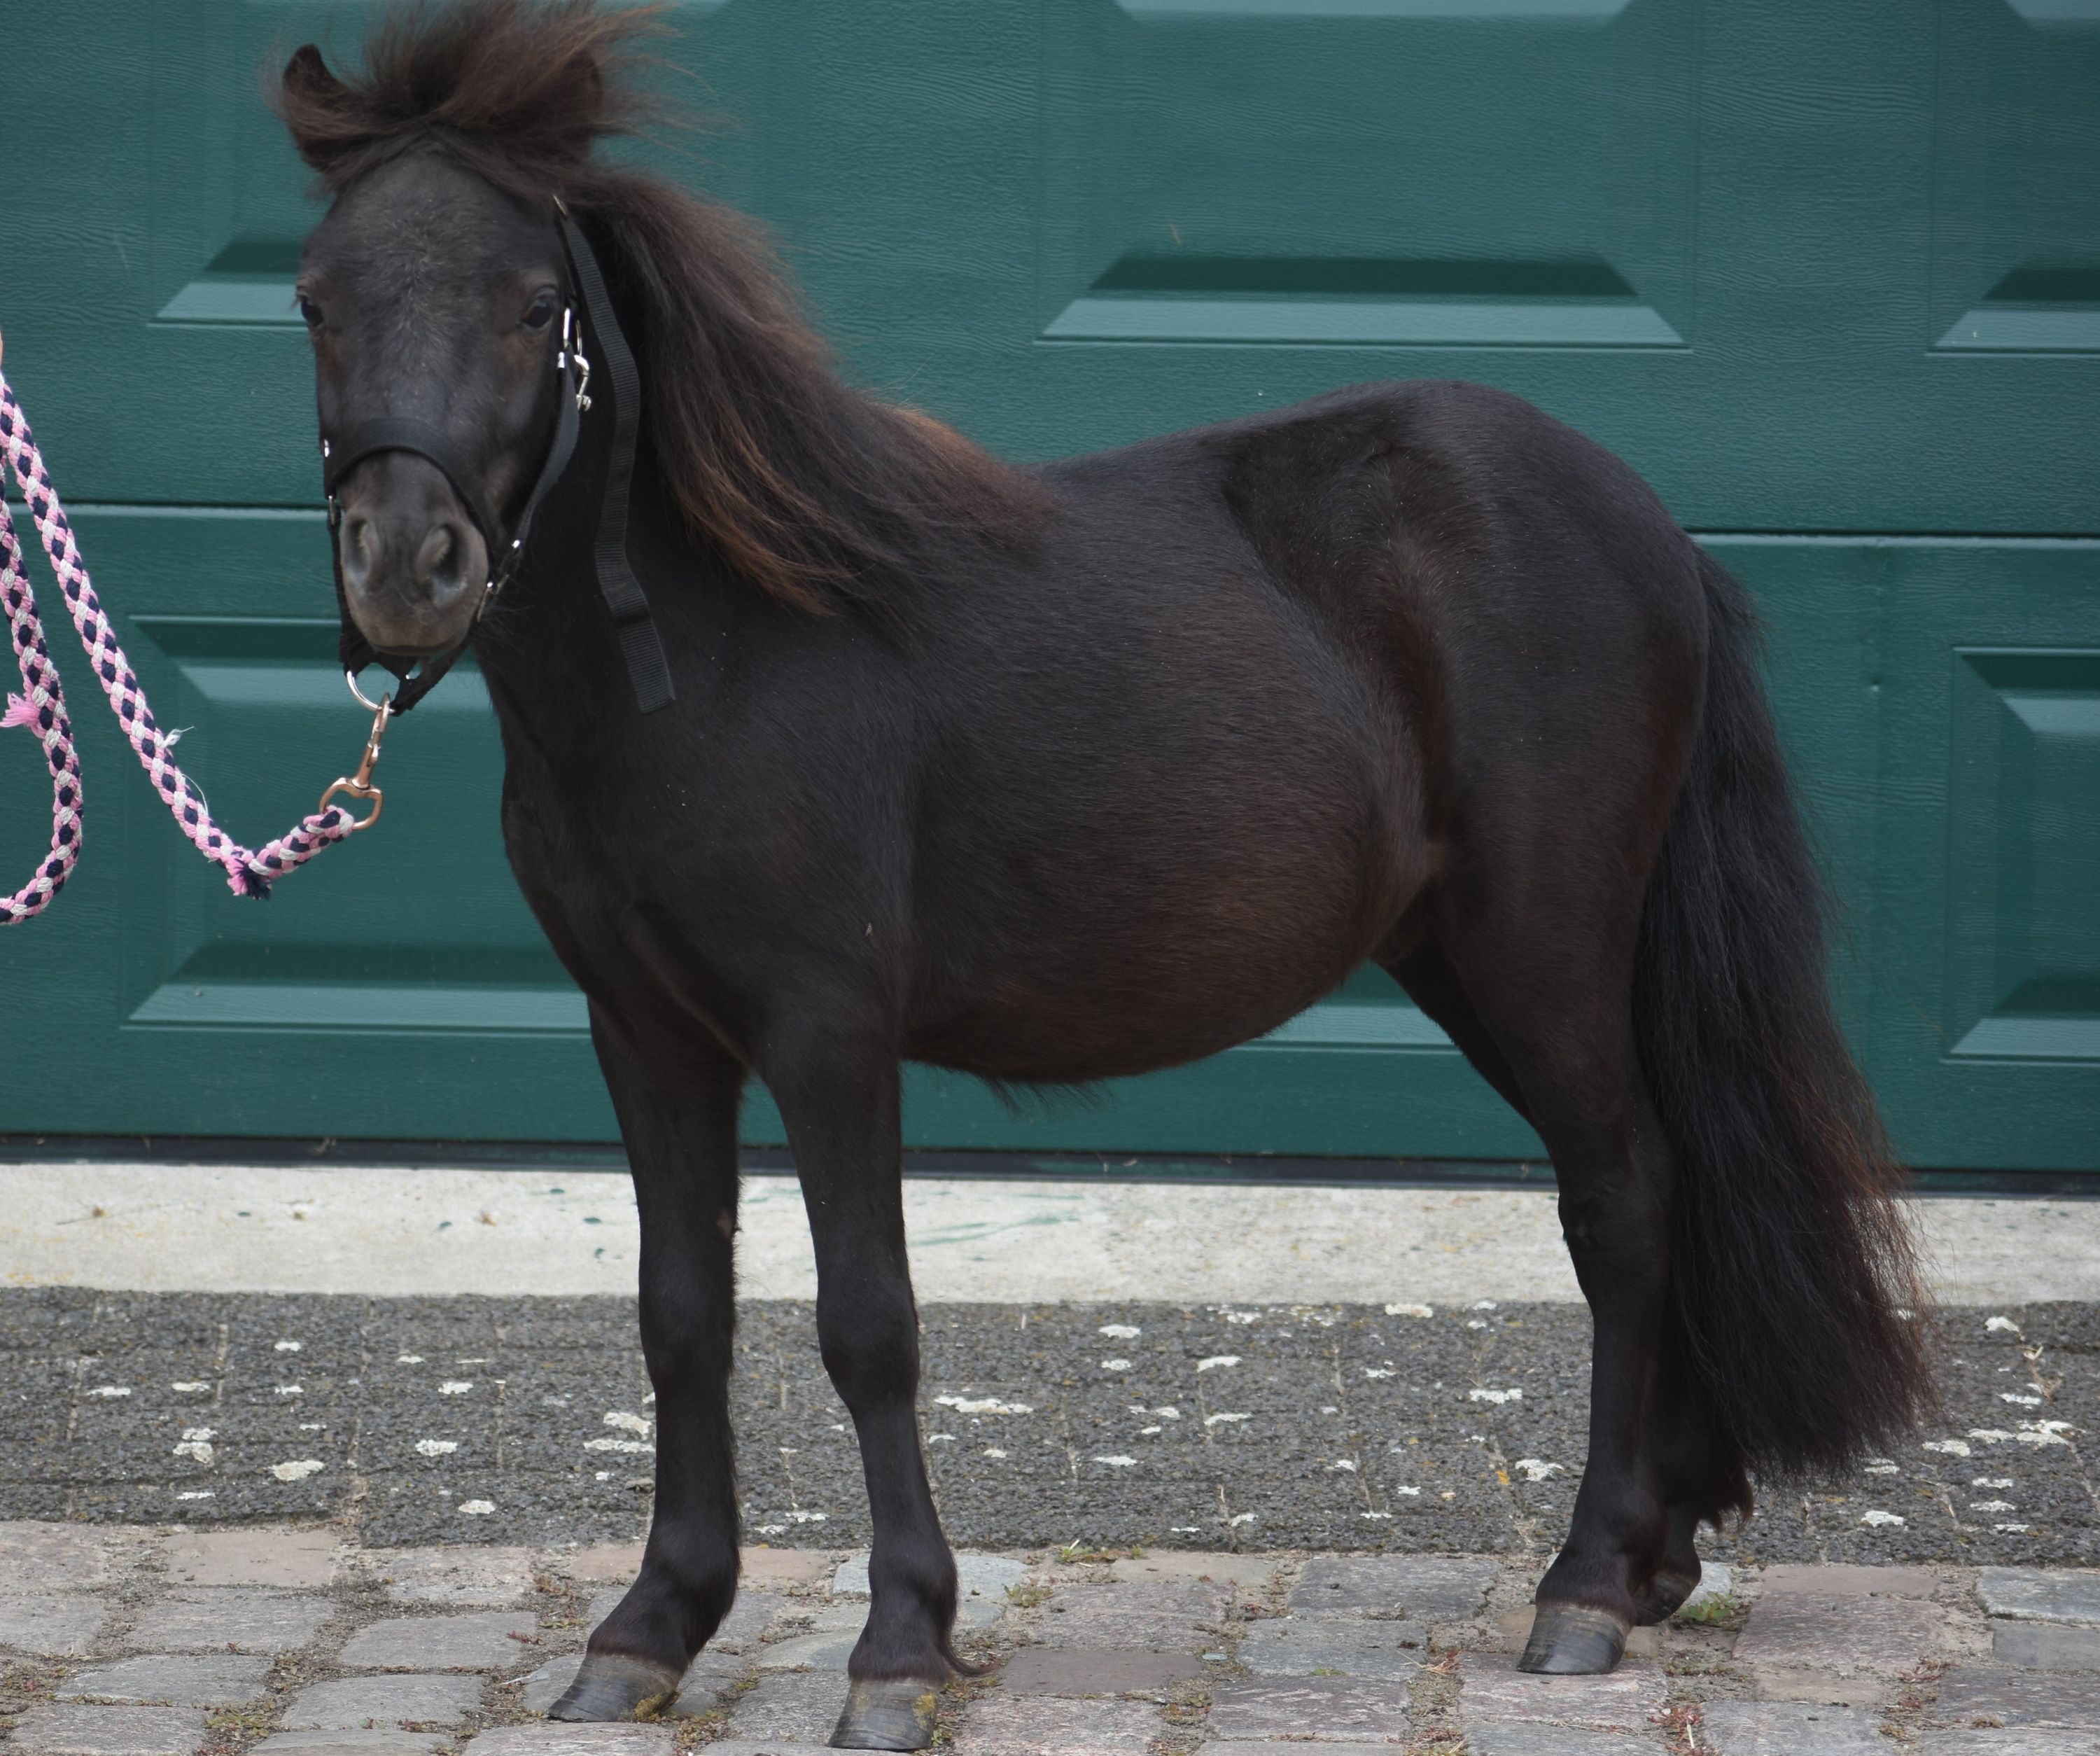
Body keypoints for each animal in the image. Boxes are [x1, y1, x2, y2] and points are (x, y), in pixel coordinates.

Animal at [273, 1, 1928, 1744]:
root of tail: (1652, 526)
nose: (405, 566)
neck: (715, 649)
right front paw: (655, 1623)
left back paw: (1590, 1583)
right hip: (1461, 958)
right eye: (313, 296)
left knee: (1624, 1202)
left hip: (1542, 943)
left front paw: (900, 1647)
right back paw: (1663, 1550)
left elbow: (868, 1325)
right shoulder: (647, 1034)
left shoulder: (828, 1031)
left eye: (533, 305)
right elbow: (679, 1315)